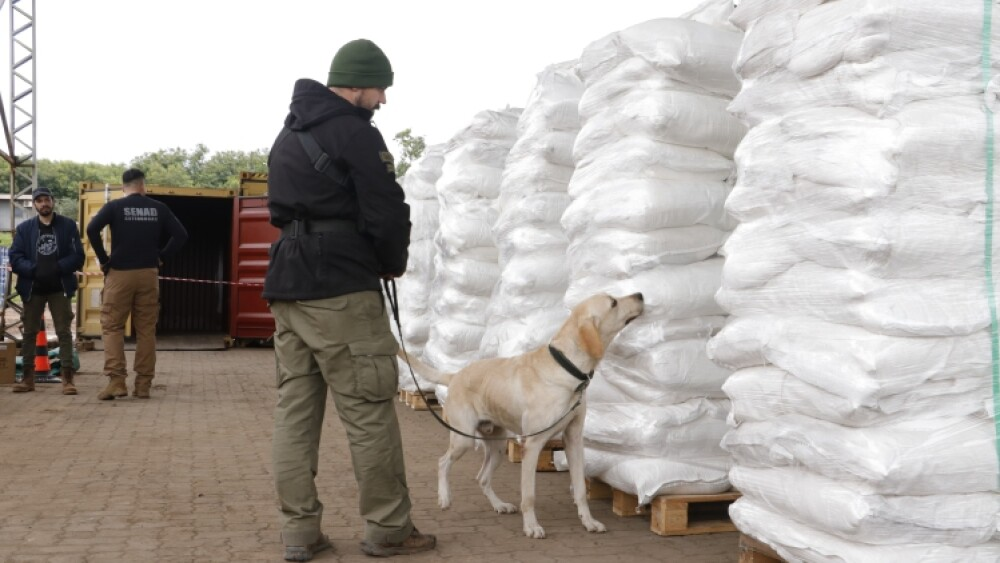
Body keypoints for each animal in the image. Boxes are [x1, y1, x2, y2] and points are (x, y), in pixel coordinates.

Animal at [394, 294, 644, 540]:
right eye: (613, 302)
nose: (640, 295)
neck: (566, 368)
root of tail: (455, 375)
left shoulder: (573, 440)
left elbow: (581, 490)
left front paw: (589, 522)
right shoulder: (532, 445)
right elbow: (529, 495)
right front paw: (531, 527)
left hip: (497, 446)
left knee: (482, 477)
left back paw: (500, 505)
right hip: (463, 439)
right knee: (442, 462)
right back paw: (445, 498)